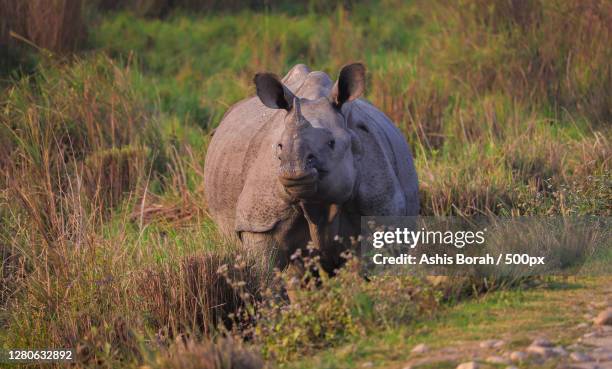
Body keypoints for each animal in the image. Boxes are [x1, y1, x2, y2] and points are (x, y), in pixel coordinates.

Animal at [203, 61, 418, 272]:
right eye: (279, 146)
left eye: (331, 143)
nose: (295, 171)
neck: (316, 204)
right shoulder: (259, 223)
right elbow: (266, 272)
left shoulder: (382, 212)